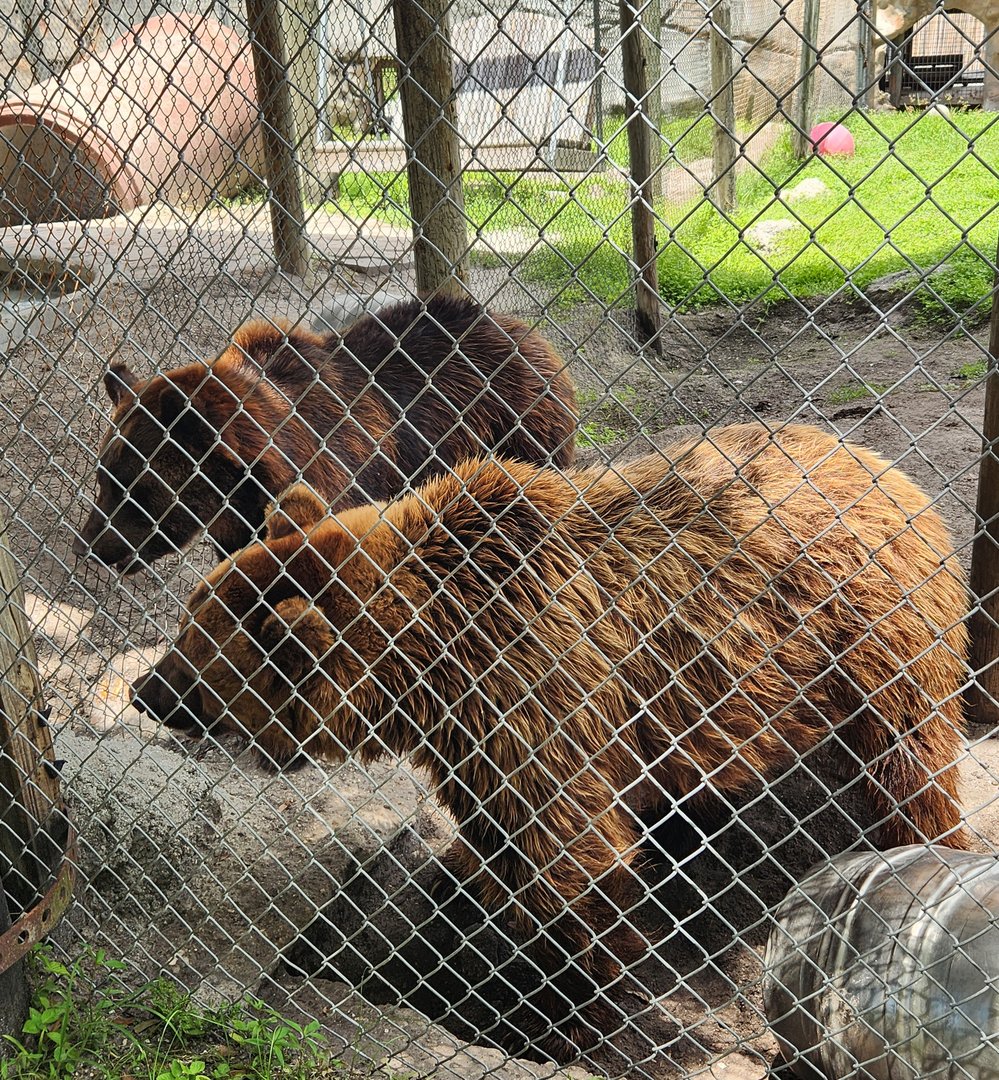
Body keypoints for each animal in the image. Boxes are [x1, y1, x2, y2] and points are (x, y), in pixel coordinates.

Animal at [74, 295, 577, 572]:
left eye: (135, 487)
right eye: (102, 478)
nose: (87, 546)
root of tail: (524, 330)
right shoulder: (240, 528)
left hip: (520, 430)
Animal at [132, 422, 969, 1018]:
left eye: (192, 650)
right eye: (187, 621)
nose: (145, 690)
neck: (426, 658)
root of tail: (890, 470)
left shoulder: (531, 681)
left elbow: (568, 848)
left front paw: (585, 982)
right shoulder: (474, 726)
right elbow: (503, 834)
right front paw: (475, 890)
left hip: (875, 634)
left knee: (911, 757)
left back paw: (926, 839)